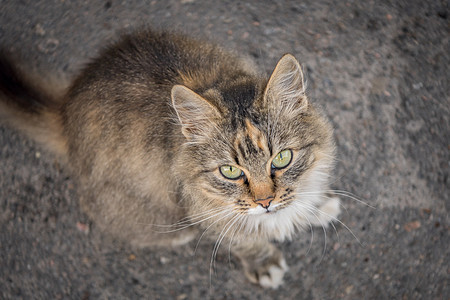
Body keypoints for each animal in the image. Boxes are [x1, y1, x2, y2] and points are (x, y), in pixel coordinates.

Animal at [0, 29, 342, 288]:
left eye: (282, 158)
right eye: (230, 171)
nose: (265, 202)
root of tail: (65, 112)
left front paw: (316, 205)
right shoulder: (202, 210)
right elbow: (241, 238)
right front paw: (264, 261)